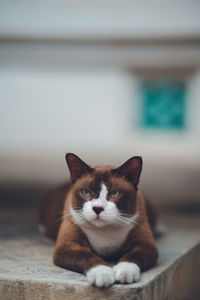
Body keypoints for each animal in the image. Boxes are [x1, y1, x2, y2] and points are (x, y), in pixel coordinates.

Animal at [38, 154, 158, 288]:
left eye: (114, 194)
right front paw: (103, 274)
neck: (104, 230)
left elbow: (133, 257)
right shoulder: (67, 246)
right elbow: (86, 256)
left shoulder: (146, 245)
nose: (97, 208)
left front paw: (124, 272)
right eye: (86, 192)